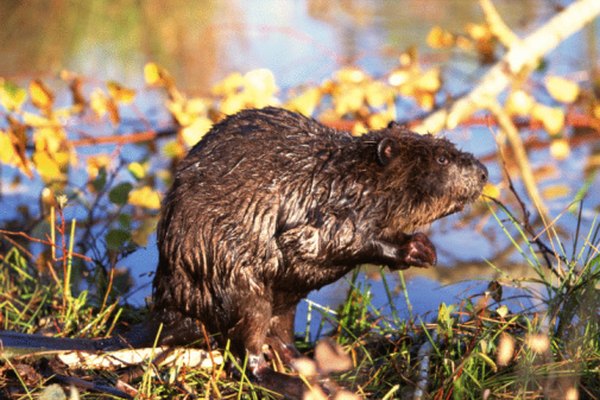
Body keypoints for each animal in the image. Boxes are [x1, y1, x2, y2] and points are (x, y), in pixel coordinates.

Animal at [150, 107, 488, 388]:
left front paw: (426, 246)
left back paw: (314, 367)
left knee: (281, 334)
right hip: (240, 290)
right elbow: (324, 242)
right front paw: (417, 250)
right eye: (442, 158)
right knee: (249, 354)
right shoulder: (321, 212)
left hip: (283, 302)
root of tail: (171, 313)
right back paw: (293, 384)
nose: (484, 172)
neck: (350, 178)